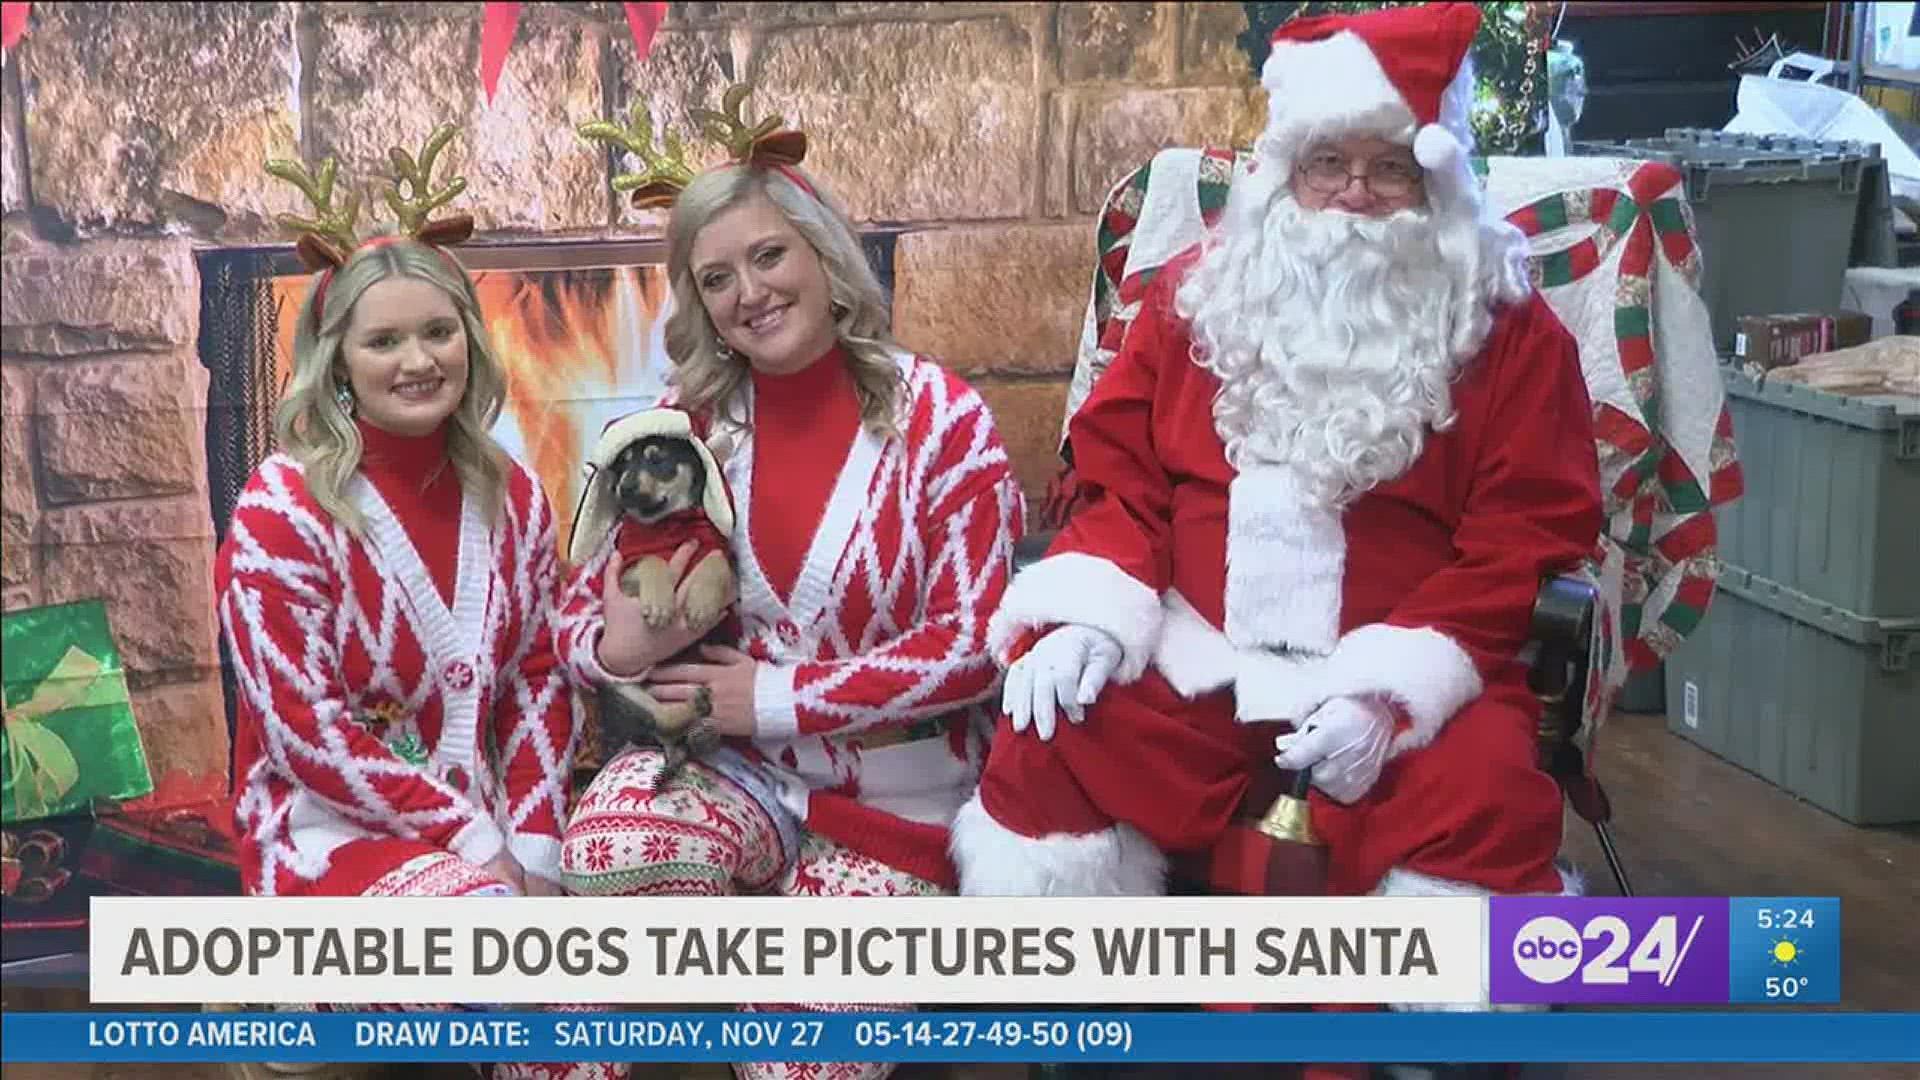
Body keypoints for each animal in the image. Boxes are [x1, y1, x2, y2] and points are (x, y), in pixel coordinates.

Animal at [599, 428, 741, 780]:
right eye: (622, 467)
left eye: (657, 459)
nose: (624, 487)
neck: (670, 524)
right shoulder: (626, 569)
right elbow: (652, 560)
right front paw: (661, 605)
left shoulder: (730, 566)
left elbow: (715, 557)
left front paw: (702, 605)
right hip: (620, 688)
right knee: (662, 720)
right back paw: (696, 711)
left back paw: (704, 732)